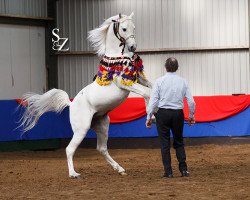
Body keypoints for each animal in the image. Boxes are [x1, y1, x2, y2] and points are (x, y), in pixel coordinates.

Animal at [19, 12, 151, 178]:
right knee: (69, 149)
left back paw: (119, 169)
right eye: (124, 28)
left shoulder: (138, 79)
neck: (116, 57)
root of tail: (71, 103)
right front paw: (150, 118)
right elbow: (146, 93)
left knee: (101, 149)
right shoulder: (125, 83)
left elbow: (152, 88)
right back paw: (73, 174)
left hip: (102, 125)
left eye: (133, 27)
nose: (133, 47)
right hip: (81, 129)